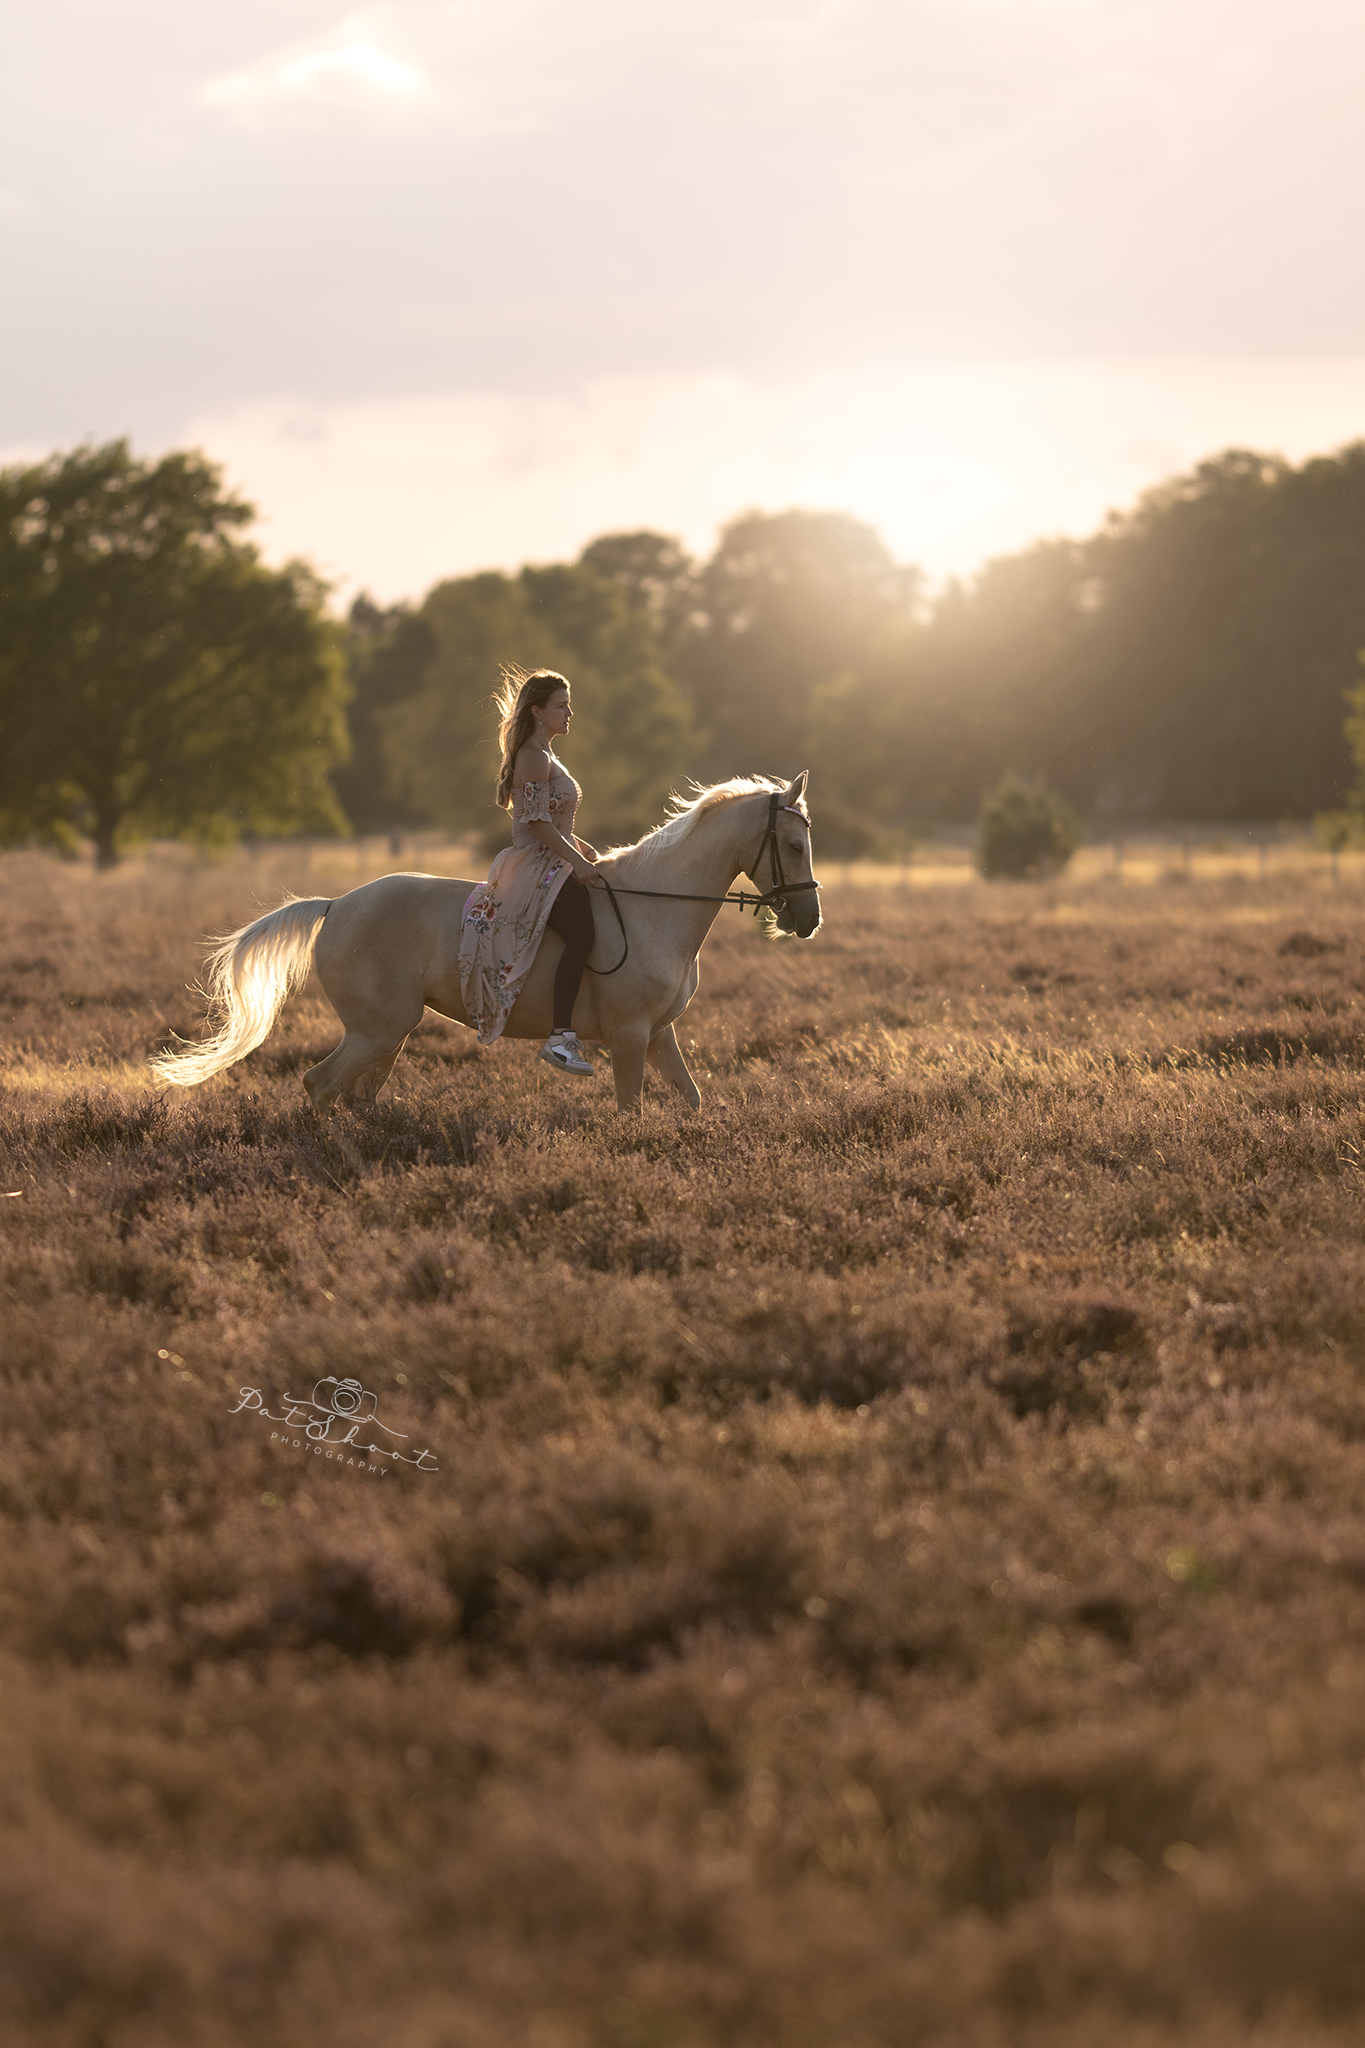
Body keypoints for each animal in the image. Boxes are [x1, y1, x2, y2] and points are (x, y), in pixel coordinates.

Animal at [152, 773, 821, 1112]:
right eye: (792, 844)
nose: (808, 919)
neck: (655, 909)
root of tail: (336, 905)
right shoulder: (630, 1035)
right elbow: (629, 1108)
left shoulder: (660, 1035)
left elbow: (692, 1098)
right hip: (377, 1029)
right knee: (321, 1085)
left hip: (386, 1034)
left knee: (355, 1094)